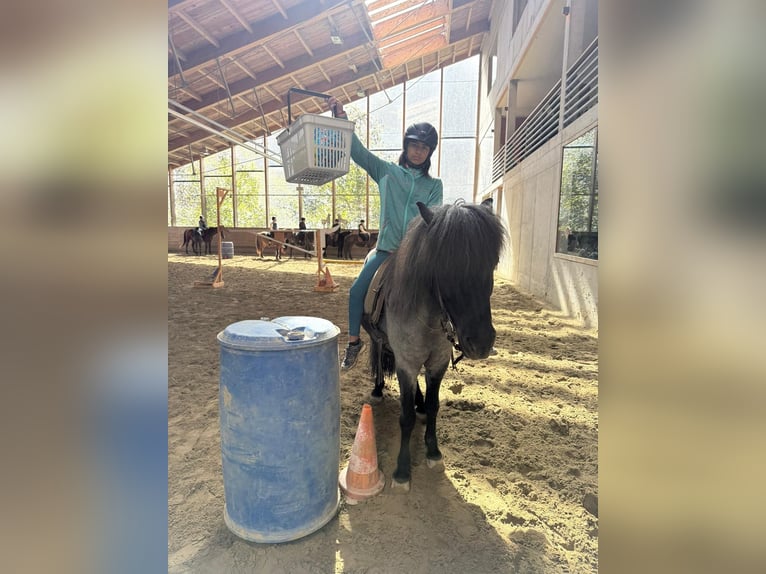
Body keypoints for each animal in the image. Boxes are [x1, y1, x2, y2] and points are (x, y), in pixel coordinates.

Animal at [361, 200, 506, 490]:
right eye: (445, 267)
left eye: (492, 264)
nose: (481, 342)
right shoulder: (406, 364)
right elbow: (405, 417)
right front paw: (402, 470)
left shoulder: (437, 363)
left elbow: (433, 406)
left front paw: (433, 451)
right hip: (378, 341)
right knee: (379, 358)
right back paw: (378, 389)